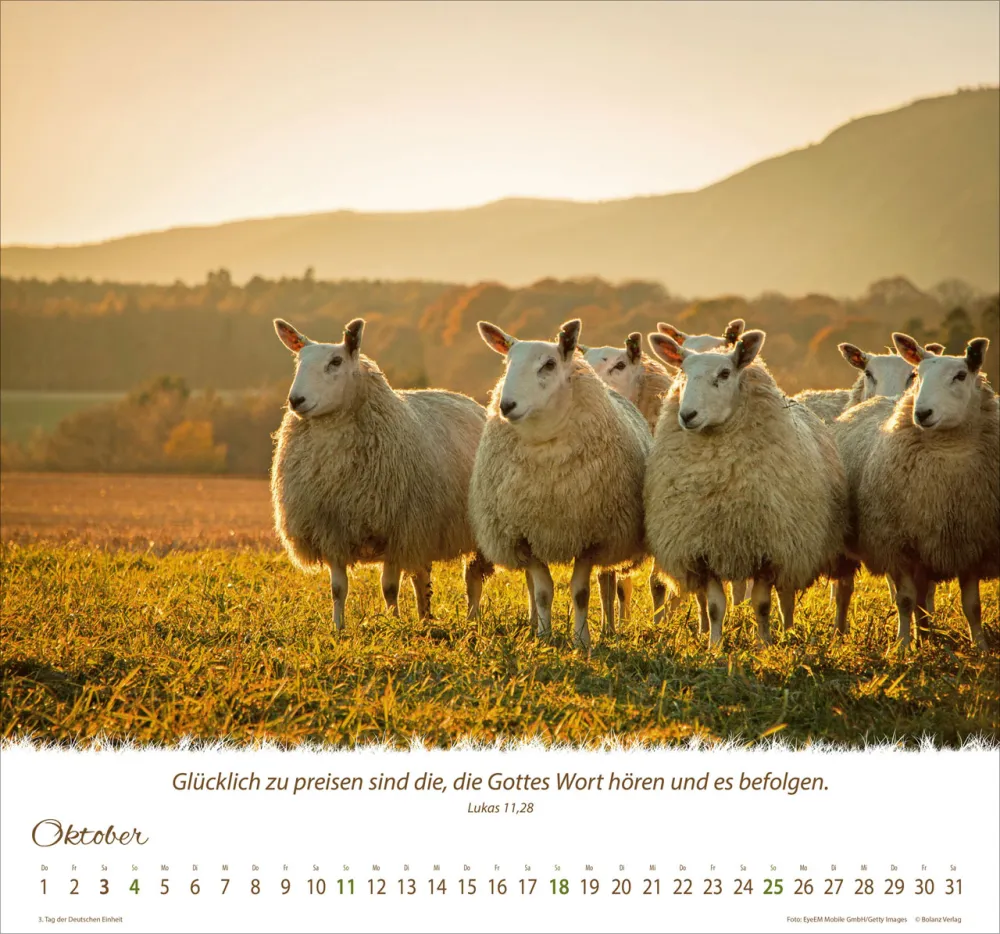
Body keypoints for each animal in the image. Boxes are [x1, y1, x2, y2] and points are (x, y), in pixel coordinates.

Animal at [270, 317, 493, 629]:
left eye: (336, 361)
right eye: (299, 361)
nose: (296, 400)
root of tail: (467, 400)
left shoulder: (397, 529)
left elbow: (389, 587)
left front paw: (393, 623)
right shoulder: (332, 532)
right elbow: (337, 588)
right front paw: (338, 627)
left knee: (472, 576)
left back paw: (472, 620)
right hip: (421, 532)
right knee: (422, 576)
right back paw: (425, 618)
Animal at [469, 318, 651, 649]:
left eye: (549, 364)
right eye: (507, 363)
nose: (506, 405)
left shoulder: (592, 535)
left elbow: (580, 593)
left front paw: (581, 640)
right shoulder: (524, 535)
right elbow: (542, 593)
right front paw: (543, 637)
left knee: (607, 581)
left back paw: (608, 628)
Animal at [643, 329, 849, 646]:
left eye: (725, 373)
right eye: (682, 373)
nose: (687, 415)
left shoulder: (769, 549)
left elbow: (762, 604)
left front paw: (765, 644)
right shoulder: (703, 549)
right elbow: (715, 607)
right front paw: (714, 645)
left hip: (795, 544)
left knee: (786, 596)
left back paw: (788, 631)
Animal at [835, 334, 998, 649]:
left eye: (961, 375)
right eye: (919, 375)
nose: (921, 413)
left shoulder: (970, 542)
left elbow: (972, 606)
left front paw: (981, 646)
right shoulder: (896, 543)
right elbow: (905, 600)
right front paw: (902, 645)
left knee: (925, 596)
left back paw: (925, 634)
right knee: (845, 590)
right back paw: (840, 632)